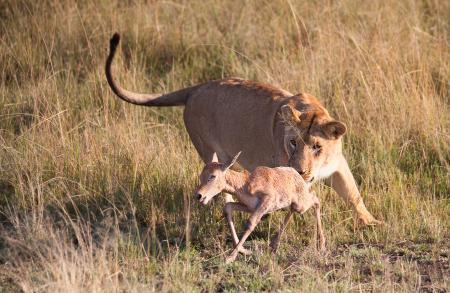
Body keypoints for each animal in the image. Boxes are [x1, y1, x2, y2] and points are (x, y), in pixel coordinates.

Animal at [195, 152, 326, 264]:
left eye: (213, 176)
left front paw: (230, 258)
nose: (199, 195)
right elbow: (228, 207)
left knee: (316, 199)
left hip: (301, 205)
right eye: (201, 175)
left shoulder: (265, 202)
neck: (246, 183)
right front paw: (244, 251)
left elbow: (251, 223)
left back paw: (321, 245)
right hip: (293, 205)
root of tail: (295, 173)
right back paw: (274, 245)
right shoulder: (250, 207)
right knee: (293, 209)